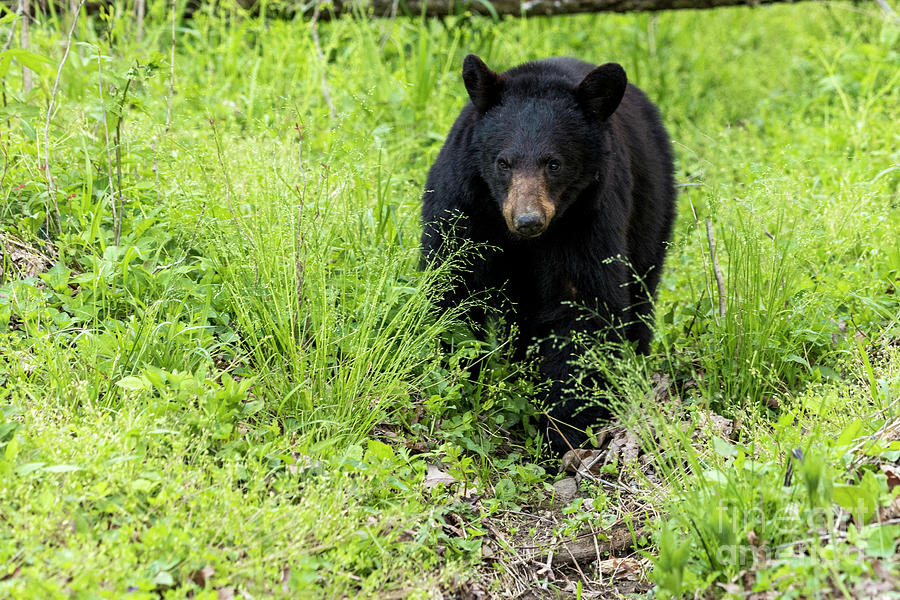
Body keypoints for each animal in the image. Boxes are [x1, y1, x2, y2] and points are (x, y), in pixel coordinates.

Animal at [424, 56, 676, 454]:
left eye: (553, 163)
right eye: (503, 162)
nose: (528, 220)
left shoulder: (587, 218)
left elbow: (580, 305)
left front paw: (566, 429)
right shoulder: (464, 204)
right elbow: (455, 283)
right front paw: (454, 379)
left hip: (652, 210)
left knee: (641, 294)